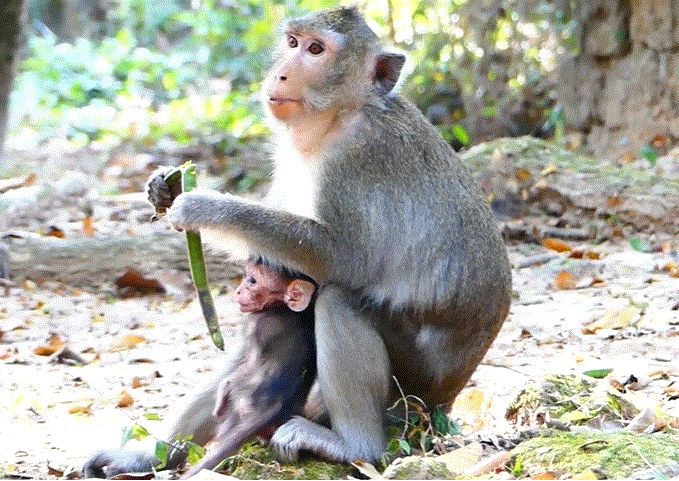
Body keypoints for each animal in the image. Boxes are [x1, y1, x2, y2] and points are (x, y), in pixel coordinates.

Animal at [82, 5, 511, 476]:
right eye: (292, 43)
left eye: (316, 50)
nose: (281, 73)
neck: (338, 118)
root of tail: (446, 402)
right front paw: (166, 188)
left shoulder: (357, 156)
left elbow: (341, 258)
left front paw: (203, 205)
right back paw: (151, 456)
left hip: (411, 390)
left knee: (337, 302)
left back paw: (355, 447)